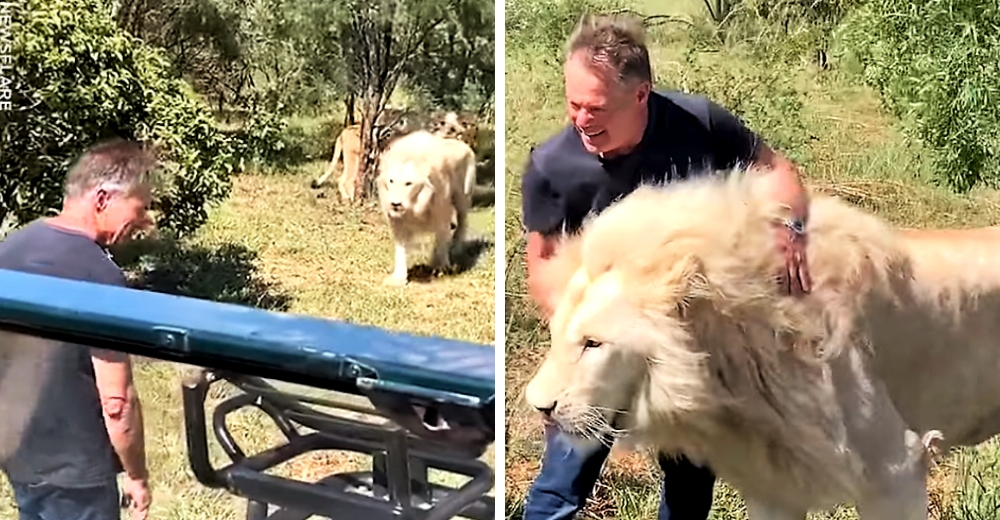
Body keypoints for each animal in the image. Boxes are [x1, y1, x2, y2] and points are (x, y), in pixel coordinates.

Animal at [376, 128, 476, 286]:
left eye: (408, 183)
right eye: (391, 181)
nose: (395, 204)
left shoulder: (441, 214)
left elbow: (441, 244)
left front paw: (442, 268)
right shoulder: (397, 223)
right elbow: (401, 250)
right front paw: (398, 278)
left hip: (462, 198)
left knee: (462, 223)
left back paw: (455, 248)